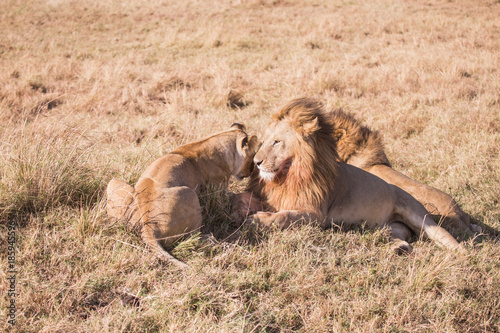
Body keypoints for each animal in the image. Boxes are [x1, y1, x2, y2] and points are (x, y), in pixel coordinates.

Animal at [106, 124, 258, 268]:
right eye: (252, 158)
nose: (251, 171)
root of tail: (148, 226)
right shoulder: (217, 193)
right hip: (189, 193)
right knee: (193, 236)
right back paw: (210, 239)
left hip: (114, 182)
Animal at [240, 98, 462, 252]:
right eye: (263, 141)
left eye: (277, 141)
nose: (256, 162)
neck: (290, 175)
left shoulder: (317, 215)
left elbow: (285, 216)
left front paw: (257, 220)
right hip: (387, 227)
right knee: (398, 236)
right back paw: (398, 248)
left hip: (419, 216)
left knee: (443, 236)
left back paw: (461, 254)